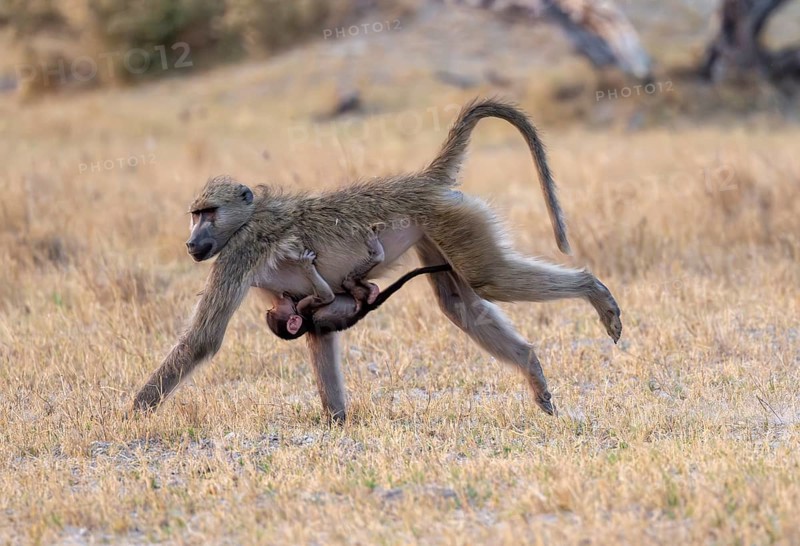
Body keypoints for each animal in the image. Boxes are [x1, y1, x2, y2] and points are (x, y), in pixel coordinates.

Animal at [267, 264, 454, 340]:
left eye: (273, 308)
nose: (281, 299)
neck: (305, 323)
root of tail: (368, 307)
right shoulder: (303, 308)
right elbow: (327, 297)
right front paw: (306, 265)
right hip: (361, 297)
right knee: (349, 283)